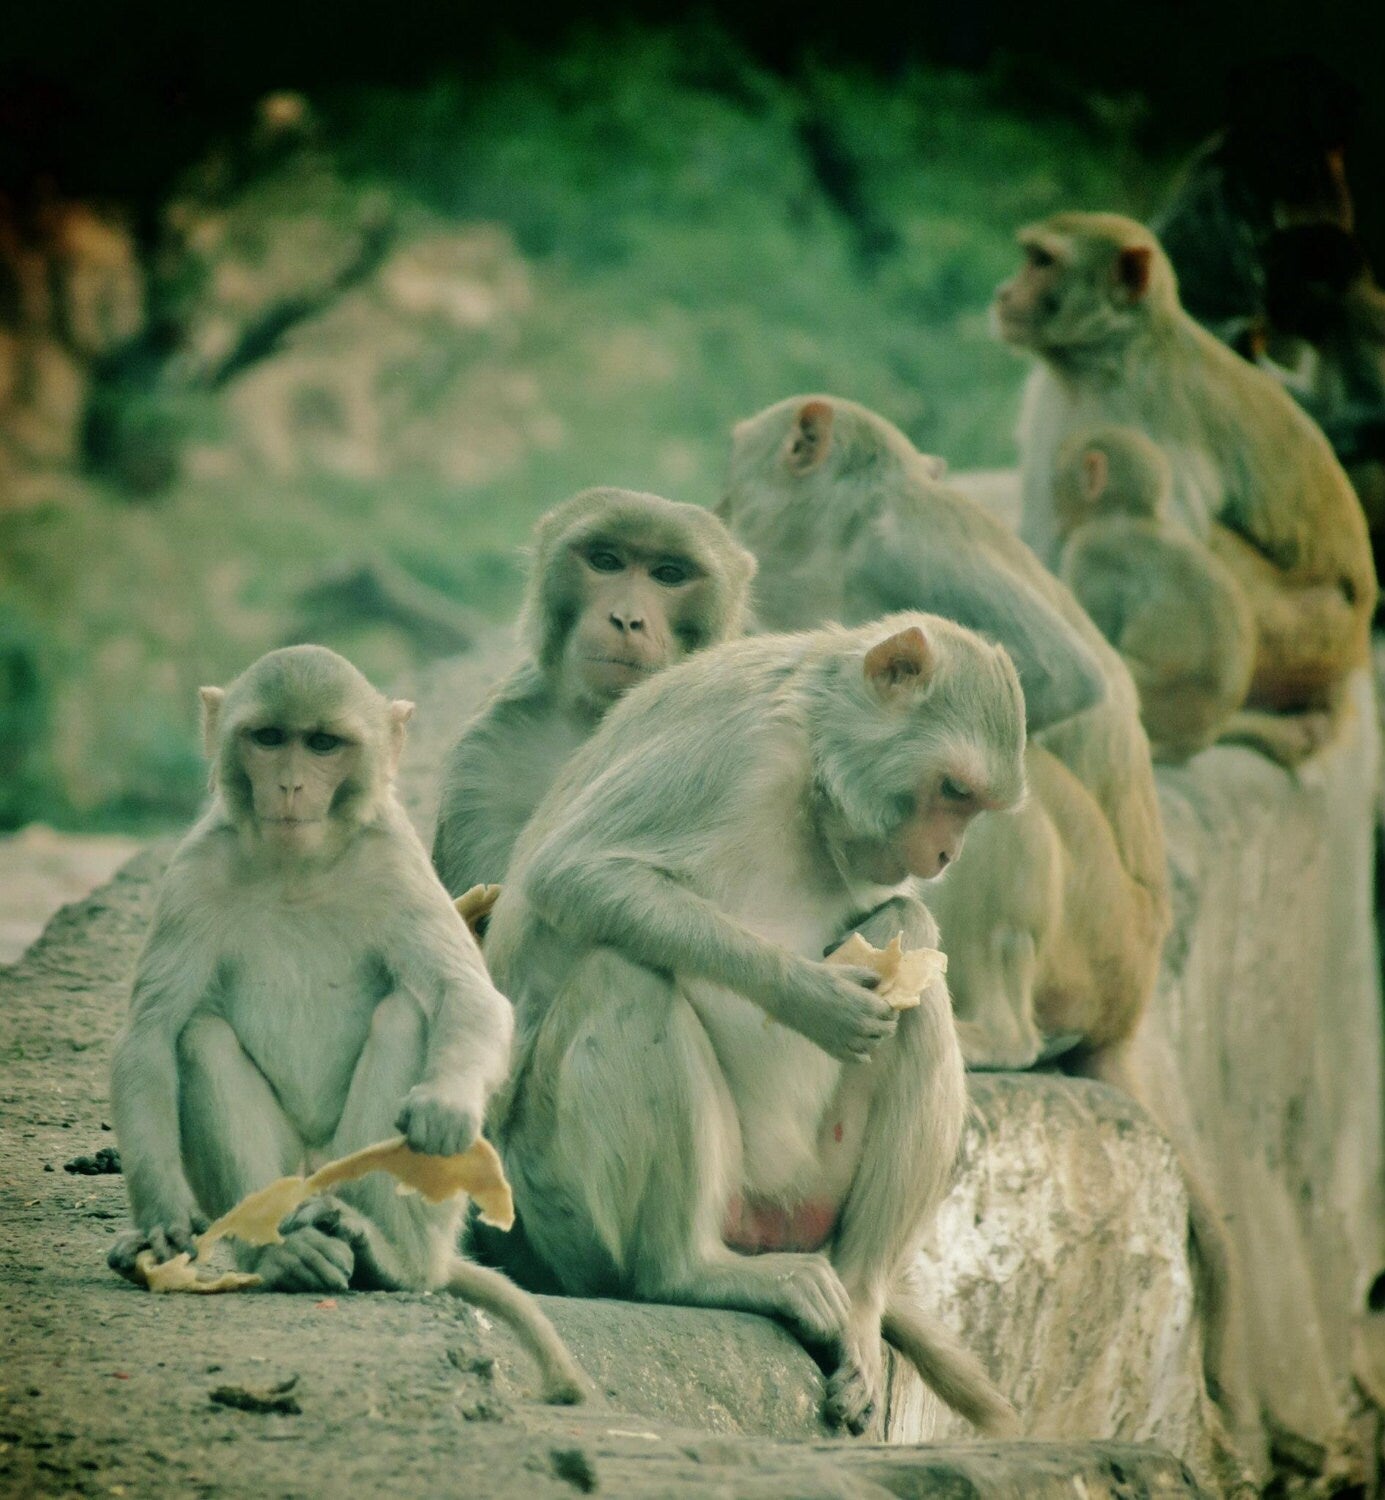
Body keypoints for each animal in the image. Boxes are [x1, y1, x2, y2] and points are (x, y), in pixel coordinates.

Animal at [107, 645, 586, 1404]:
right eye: (270, 738)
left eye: (324, 744)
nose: (291, 785)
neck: (297, 868)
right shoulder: (192, 874)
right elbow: (150, 1037)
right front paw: (161, 1222)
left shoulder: (396, 864)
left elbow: (467, 996)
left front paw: (446, 1107)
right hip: (288, 1175)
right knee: (200, 1039)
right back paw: (284, 1253)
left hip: (350, 1171)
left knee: (408, 1016)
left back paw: (388, 1256)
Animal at [485, 614, 1027, 1437]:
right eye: (953, 790)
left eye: (974, 805)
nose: (943, 855)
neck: (814, 761)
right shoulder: (736, 742)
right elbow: (576, 875)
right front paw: (813, 997)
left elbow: (903, 944)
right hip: (562, 1205)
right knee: (624, 974)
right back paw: (688, 1271)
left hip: (808, 1194)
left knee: (911, 951)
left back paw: (860, 1303)